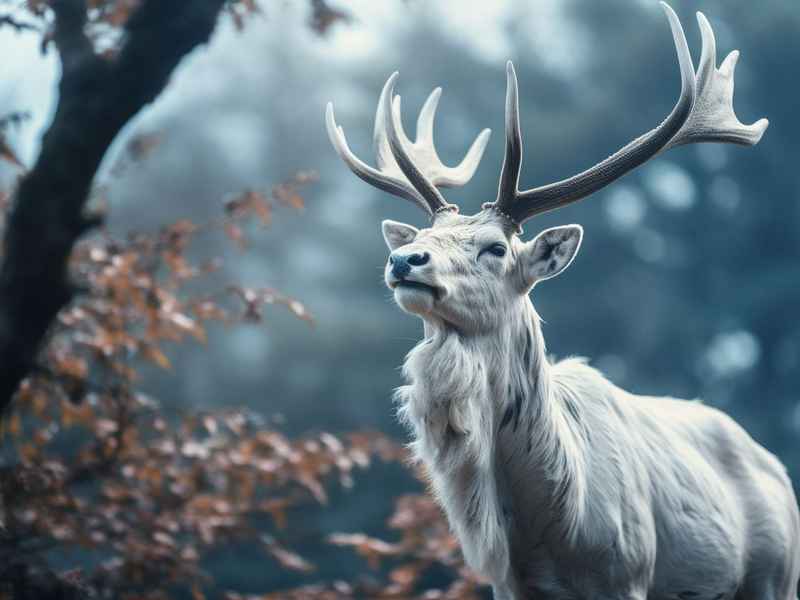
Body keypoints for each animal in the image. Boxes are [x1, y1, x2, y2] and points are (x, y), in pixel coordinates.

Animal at [325, 4, 800, 600]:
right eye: (425, 238)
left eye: (495, 247)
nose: (404, 259)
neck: (551, 529)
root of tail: (777, 469)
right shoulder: (508, 586)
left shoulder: (629, 571)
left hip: (774, 575)